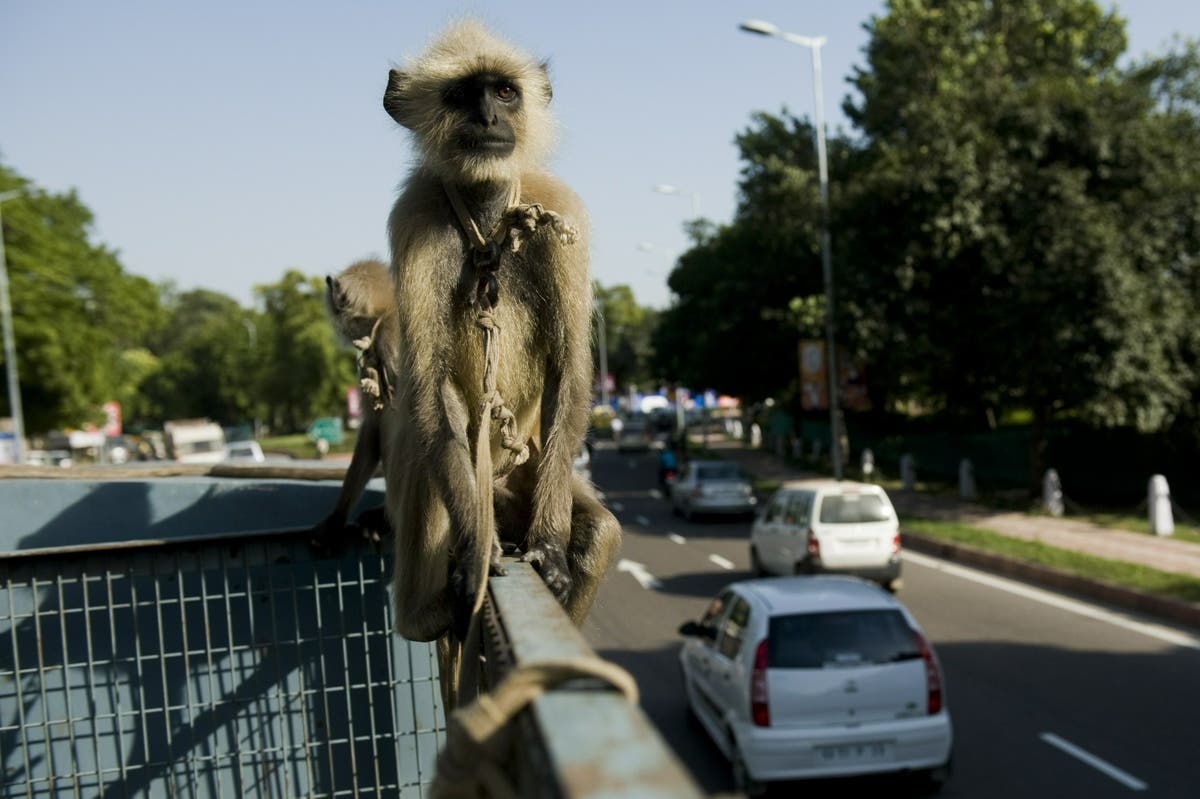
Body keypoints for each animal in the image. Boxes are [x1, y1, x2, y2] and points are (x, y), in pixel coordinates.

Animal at [379, 19, 621, 651]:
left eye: (505, 92)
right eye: (465, 94)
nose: (489, 117)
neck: (489, 215)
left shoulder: (561, 210)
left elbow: (570, 372)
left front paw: (551, 550)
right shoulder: (417, 219)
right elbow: (431, 386)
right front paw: (477, 554)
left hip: (528, 471)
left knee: (600, 533)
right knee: (442, 439)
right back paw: (428, 610)